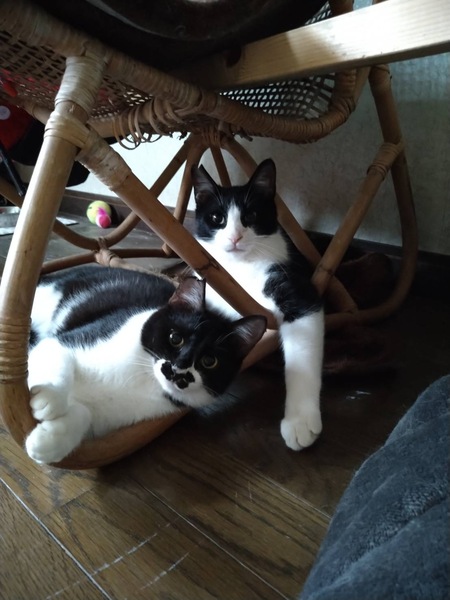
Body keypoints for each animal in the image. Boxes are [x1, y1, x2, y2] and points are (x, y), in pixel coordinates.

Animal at [25, 266, 266, 464]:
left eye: (209, 361)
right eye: (175, 338)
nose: (179, 369)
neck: (145, 378)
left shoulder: (113, 417)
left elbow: (86, 415)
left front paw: (49, 442)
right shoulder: (74, 338)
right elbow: (57, 354)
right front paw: (49, 398)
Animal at [192, 158, 324, 450]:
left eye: (250, 216)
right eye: (217, 219)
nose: (234, 238)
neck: (241, 268)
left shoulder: (297, 290)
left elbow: (302, 354)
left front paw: (300, 420)